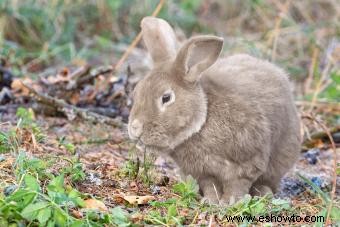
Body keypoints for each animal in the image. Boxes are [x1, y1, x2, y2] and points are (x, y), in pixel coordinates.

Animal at [127, 15, 300, 204]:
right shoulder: (203, 172)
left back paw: (263, 193)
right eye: (135, 92)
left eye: (166, 98)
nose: (135, 128)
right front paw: (210, 201)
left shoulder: (247, 162)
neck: (201, 122)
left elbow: (237, 185)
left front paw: (229, 202)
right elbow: (211, 186)